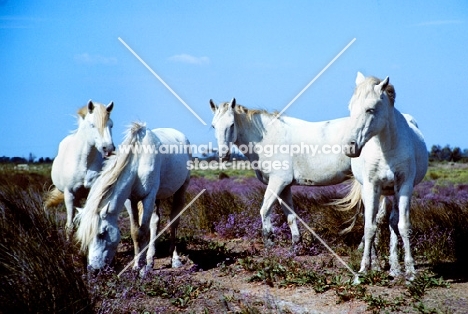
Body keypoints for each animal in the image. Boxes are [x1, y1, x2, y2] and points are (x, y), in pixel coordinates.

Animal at [45, 100, 114, 238]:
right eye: (92, 125)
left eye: (111, 125)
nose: (109, 148)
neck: (84, 163)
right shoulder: (69, 194)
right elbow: (69, 226)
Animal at [75, 121, 190, 274]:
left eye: (101, 234)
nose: (93, 269)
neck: (138, 161)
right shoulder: (131, 201)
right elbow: (136, 232)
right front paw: (138, 265)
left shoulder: (148, 197)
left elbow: (143, 231)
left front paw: (142, 268)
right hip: (157, 198)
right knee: (155, 222)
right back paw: (150, 260)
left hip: (180, 190)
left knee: (173, 222)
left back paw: (175, 259)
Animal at [210, 99, 352, 247]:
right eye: (213, 126)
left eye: (232, 125)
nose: (223, 155)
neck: (267, 138)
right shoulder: (285, 186)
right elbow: (290, 214)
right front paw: (296, 244)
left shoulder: (278, 181)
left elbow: (265, 209)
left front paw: (269, 241)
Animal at [340, 73, 428, 280]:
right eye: (350, 108)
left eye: (370, 109)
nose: (349, 147)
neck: (386, 147)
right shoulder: (372, 187)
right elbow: (370, 227)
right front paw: (364, 268)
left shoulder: (404, 187)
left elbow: (402, 226)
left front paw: (410, 271)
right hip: (374, 192)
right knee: (376, 221)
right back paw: (377, 264)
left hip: (393, 193)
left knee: (393, 222)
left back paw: (395, 267)